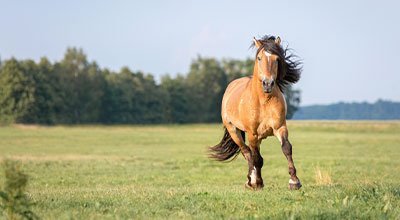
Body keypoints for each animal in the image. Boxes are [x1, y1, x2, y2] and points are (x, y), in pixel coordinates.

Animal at [211, 35, 302, 190]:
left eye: (277, 59)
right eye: (259, 58)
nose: (268, 83)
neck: (263, 101)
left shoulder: (280, 127)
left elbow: (286, 148)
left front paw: (294, 181)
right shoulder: (252, 134)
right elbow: (256, 158)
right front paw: (257, 182)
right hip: (234, 131)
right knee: (247, 153)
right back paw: (251, 181)